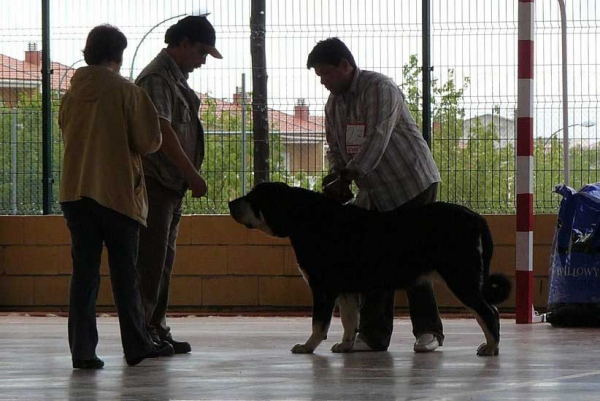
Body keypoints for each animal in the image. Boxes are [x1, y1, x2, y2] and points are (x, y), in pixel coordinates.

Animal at [227, 181, 508, 354]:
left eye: (253, 198)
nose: (230, 203)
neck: (308, 221)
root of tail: (476, 217)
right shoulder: (346, 290)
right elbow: (350, 320)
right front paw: (346, 346)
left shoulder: (323, 288)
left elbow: (319, 324)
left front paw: (307, 347)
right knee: (489, 311)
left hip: (461, 278)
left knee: (488, 312)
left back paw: (491, 347)